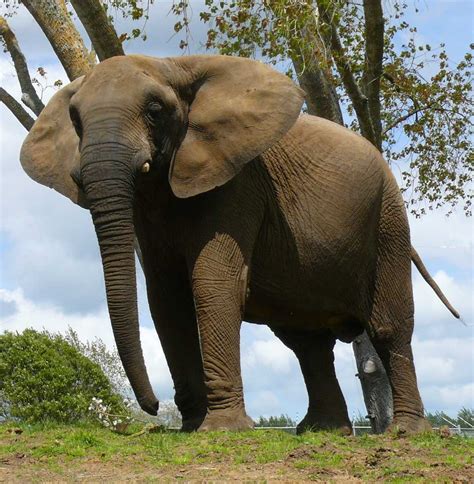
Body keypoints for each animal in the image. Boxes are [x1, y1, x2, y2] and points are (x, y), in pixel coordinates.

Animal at [19, 54, 460, 434]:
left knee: (387, 326)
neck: (173, 66)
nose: (154, 408)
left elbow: (213, 283)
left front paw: (221, 429)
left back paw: (407, 432)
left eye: (155, 110)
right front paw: (193, 427)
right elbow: (166, 298)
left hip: (389, 217)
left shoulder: (238, 182)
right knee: (307, 343)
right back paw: (323, 431)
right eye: (75, 119)